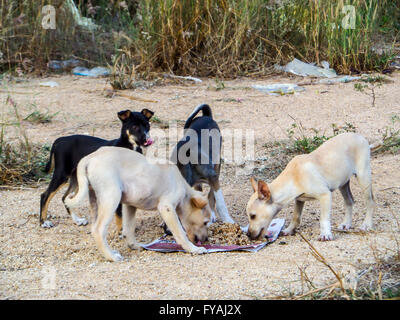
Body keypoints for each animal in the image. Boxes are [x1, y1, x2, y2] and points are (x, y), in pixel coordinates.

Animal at [64, 146, 211, 262]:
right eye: (205, 222)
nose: (206, 240)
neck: (184, 190)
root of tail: (90, 157)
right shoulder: (166, 207)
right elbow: (180, 233)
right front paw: (193, 249)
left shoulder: (130, 206)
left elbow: (129, 229)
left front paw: (133, 246)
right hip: (111, 198)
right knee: (98, 230)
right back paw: (111, 256)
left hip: (95, 201)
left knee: (94, 227)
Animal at [247, 132, 376, 240]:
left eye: (253, 216)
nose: (248, 235)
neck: (294, 177)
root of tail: (359, 135)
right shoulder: (299, 200)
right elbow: (296, 217)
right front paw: (289, 230)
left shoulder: (325, 196)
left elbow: (323, 219)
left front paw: (325, 234)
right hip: (343, 184)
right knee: (349, 201)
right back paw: (346, 224)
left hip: (363, 177)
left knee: (370, 202)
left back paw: (366, 224)